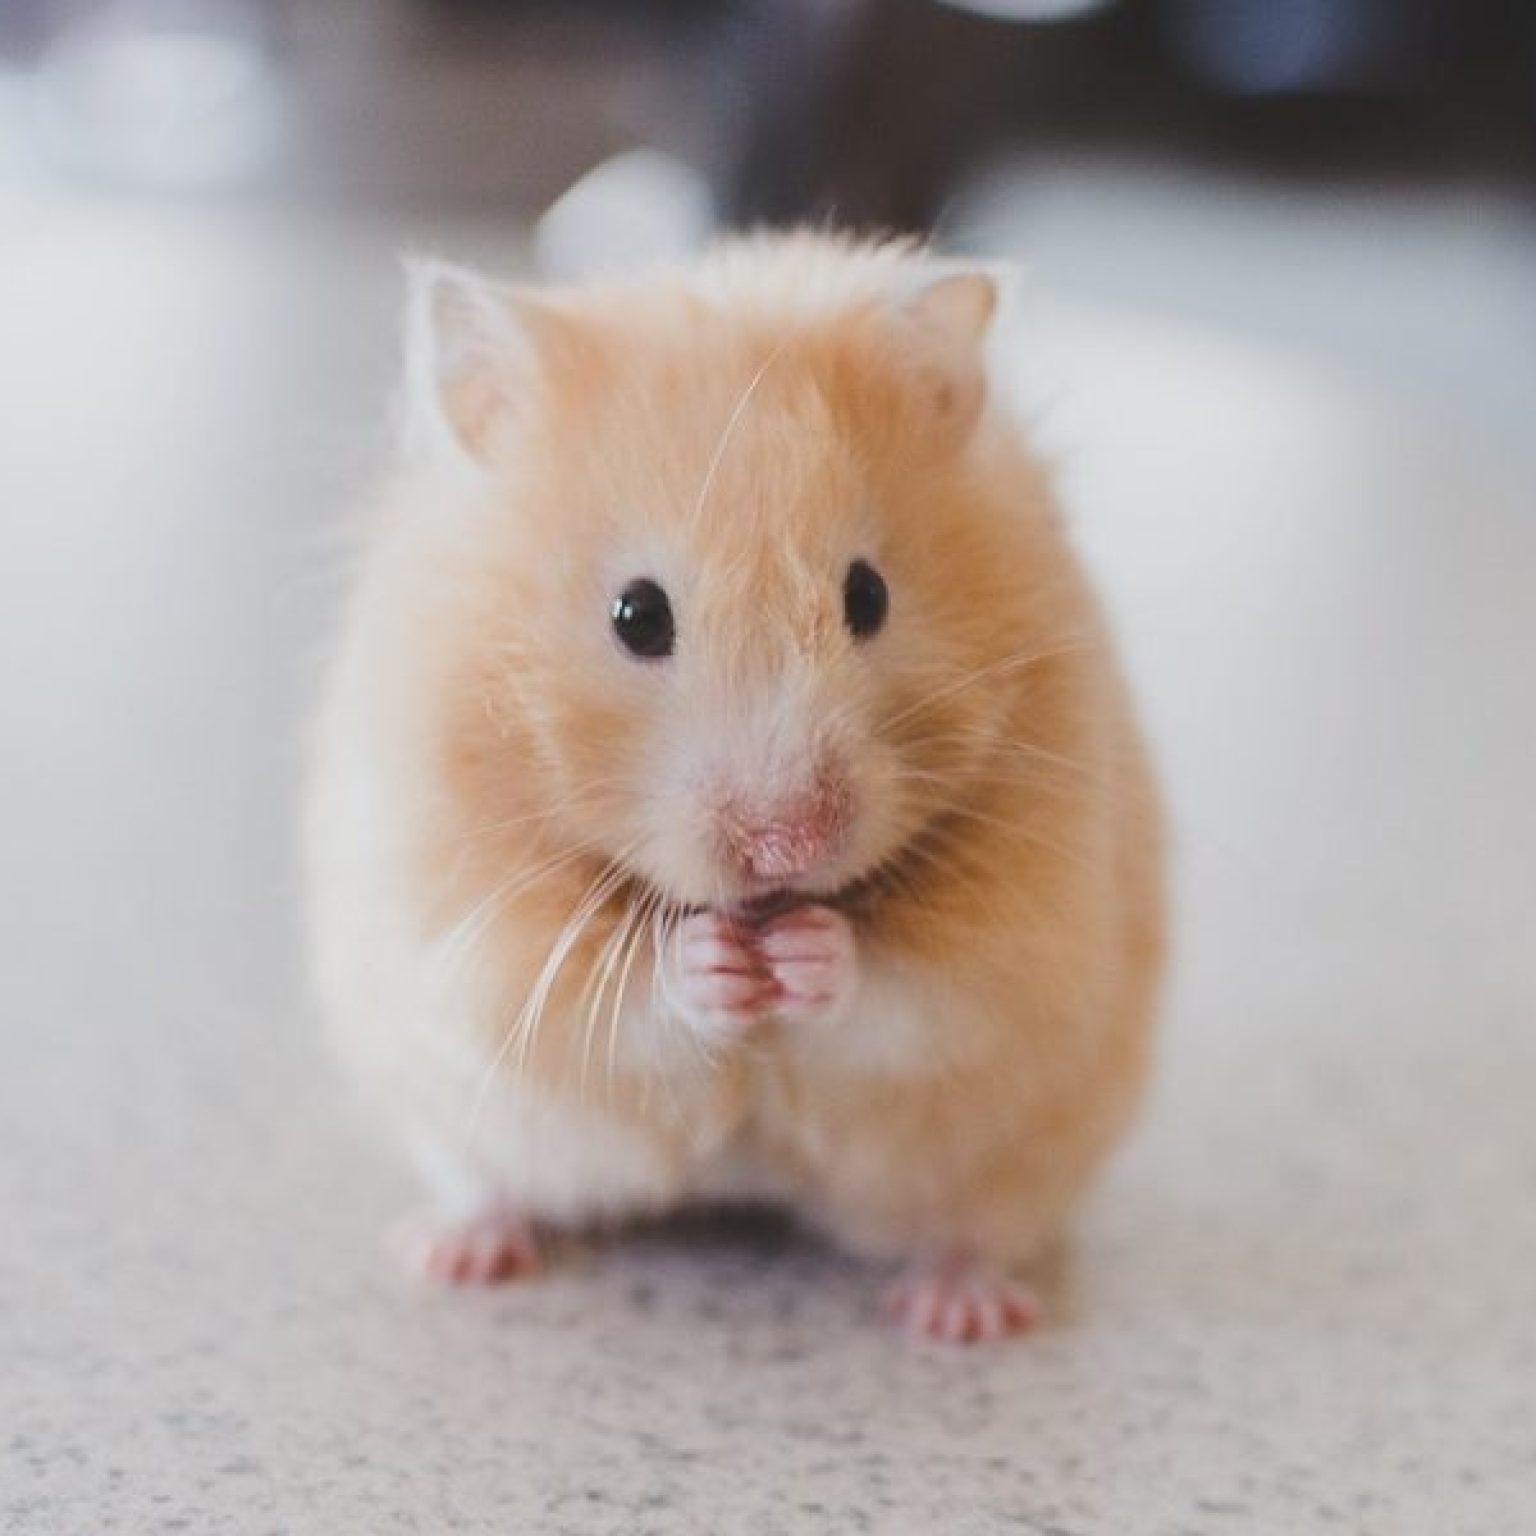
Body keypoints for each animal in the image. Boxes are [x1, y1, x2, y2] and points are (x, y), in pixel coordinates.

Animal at [304, 232, 1164, 1343]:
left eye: (868, 595)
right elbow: (609, 995)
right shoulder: (469, 924)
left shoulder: (1029, 931)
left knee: (973, 1229)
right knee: (492, 1185)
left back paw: (959, 1314)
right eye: (636, 615)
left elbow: (916, 991)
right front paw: (714, 962)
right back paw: (452, 1253)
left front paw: (806, 954)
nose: (788, 845)